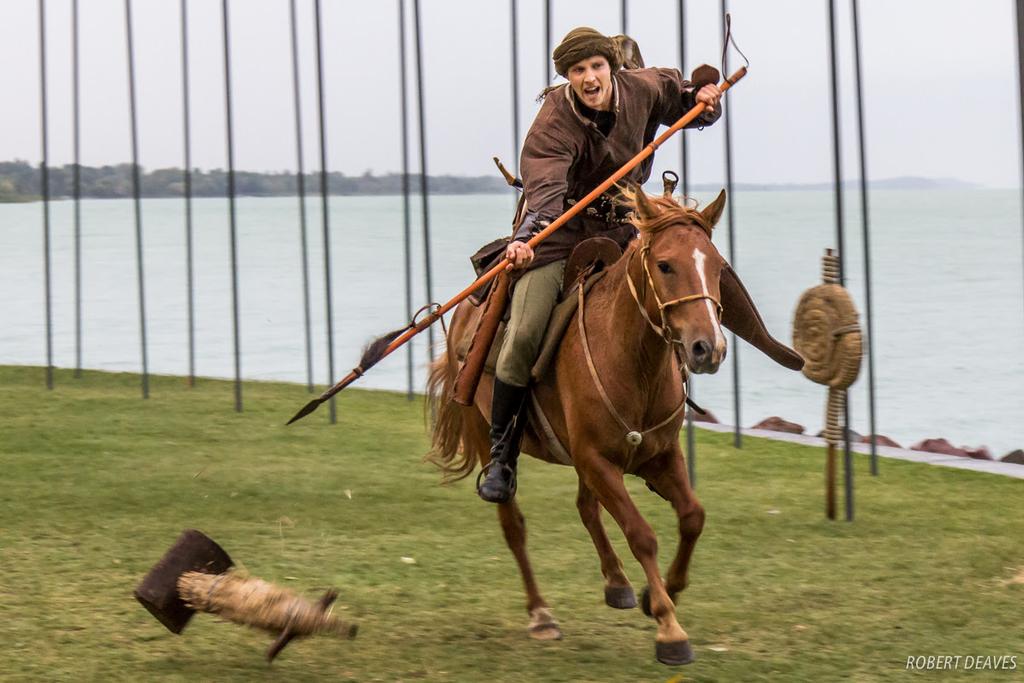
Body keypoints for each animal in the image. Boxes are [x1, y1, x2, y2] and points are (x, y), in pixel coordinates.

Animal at [423, 188, 790, 667]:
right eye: (665, 265)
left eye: (715, 265)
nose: (707, 349)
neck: (632, 358)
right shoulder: (598, 461)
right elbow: (642, 534)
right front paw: (670, 630)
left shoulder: (657, 457)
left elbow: (693, 517)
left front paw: (661, 595)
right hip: (489, 433)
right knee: (514, 524)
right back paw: (541, 613)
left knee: (586, 508)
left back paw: (616, 582)